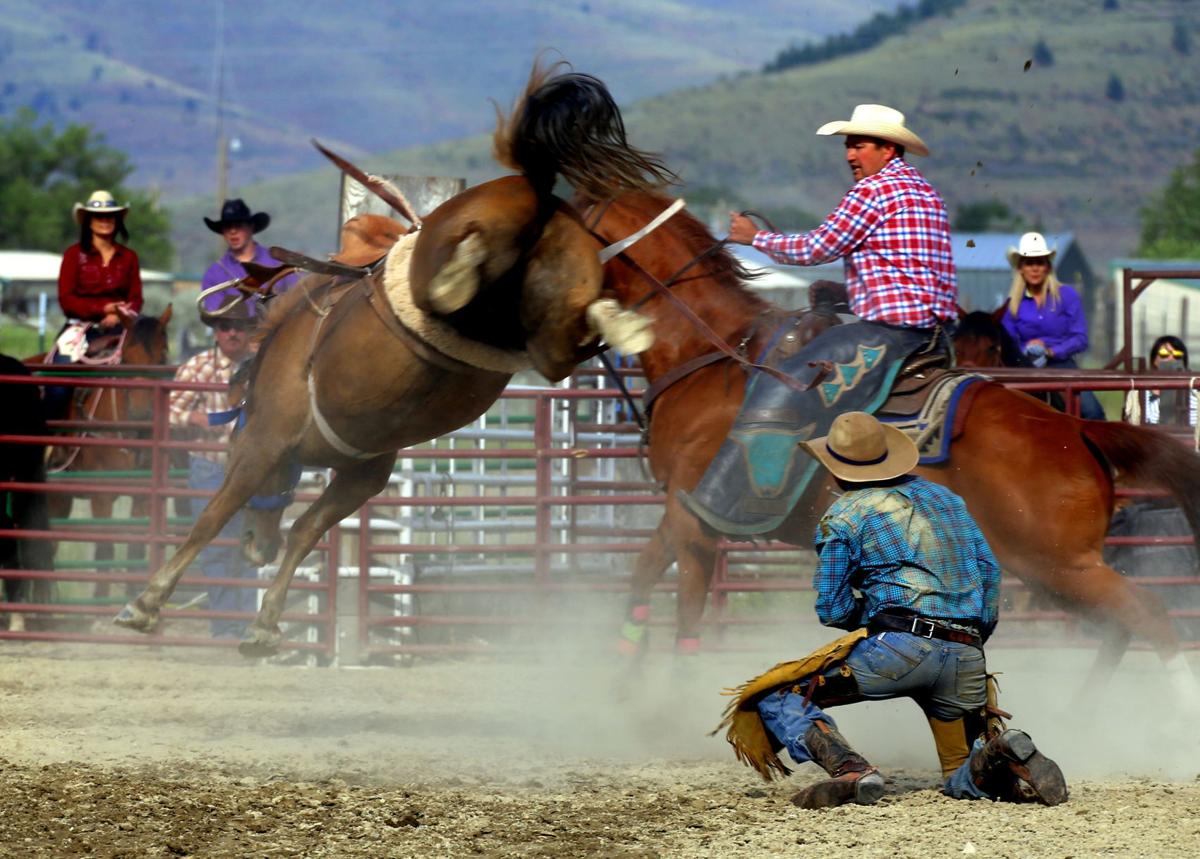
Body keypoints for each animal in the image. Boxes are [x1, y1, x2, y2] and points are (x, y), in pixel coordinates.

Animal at [115, 65, 681, 657]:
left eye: (226, 445)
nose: (254, 546)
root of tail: (536, 187)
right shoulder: (362, 471)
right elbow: (305, 531)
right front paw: (265, 626)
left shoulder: (266, 442)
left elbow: (213, 515)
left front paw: (144, 604)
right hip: (552, 320)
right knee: (566, 340)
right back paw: (622, 324)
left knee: (467, 263)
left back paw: (461, 269)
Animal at [578, 190, 1200, 700]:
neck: (717, 357)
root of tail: (1074, 431)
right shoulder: (680, 508)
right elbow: (644, 573)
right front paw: (622, 683)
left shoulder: (696, 515)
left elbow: (680, 596)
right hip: (1050, 570)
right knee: (1122, 625)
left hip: (1059, 564)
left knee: (1148, 614)